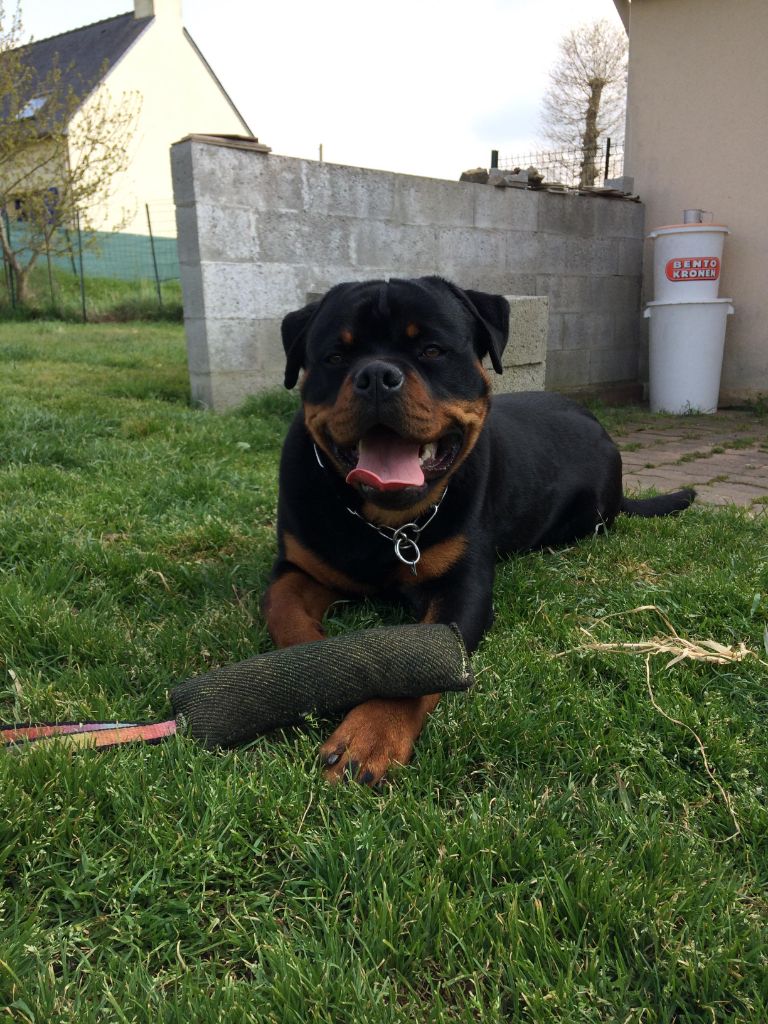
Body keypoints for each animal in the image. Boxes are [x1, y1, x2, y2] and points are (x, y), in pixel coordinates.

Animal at [262, 276, 694, 785]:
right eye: (335, 356)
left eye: (432, 349)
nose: (376, 376)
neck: (387, 526)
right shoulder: (298, 565)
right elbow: (283, 609)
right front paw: (311, 668)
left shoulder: (462, 587)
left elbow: (422, 660)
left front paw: (370, 734)